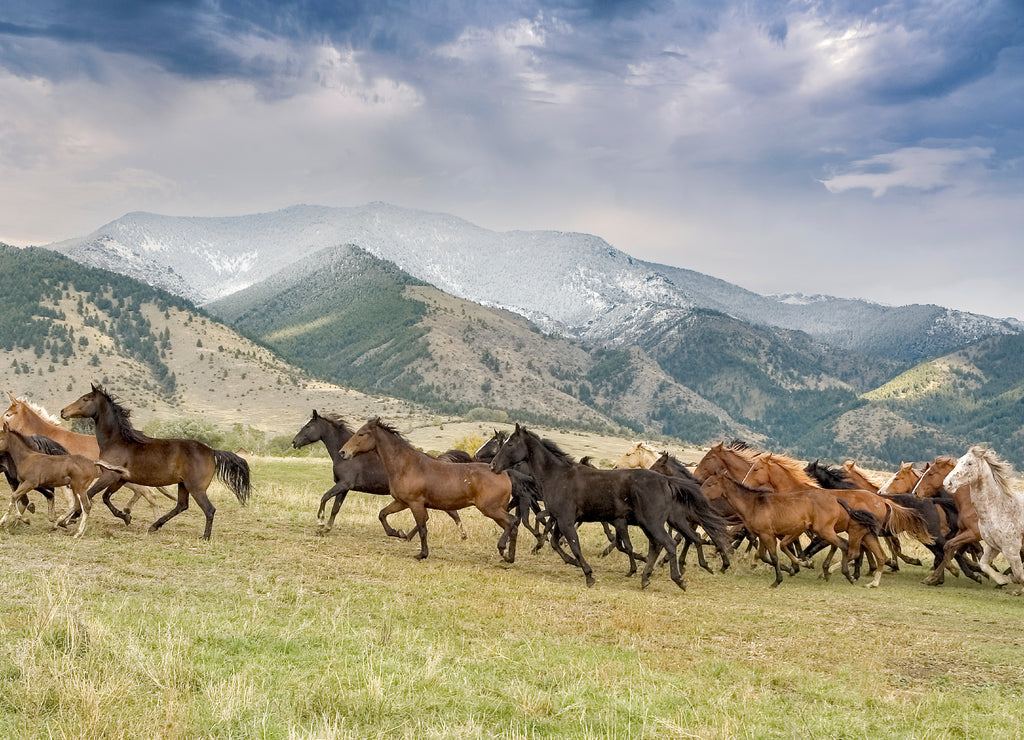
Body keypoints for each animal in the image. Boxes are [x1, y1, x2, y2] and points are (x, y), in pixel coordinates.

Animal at [60, 384, 250, 541]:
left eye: (85, 399)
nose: (63, 411)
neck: (117, 441)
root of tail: (212, 451)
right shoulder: (120, 478)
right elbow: (106, 498)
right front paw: (125, 516)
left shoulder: (110, 475)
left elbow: (90, 494)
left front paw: (68, 519)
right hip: (183, 485)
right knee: (181, 505)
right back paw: (154, 526)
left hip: (196, 487)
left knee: (209, 509)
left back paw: (205, 537)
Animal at [290, 410, 466, 538]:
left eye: (308, 426)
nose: (294, 442)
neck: (347, 457)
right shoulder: (344, 487)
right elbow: (335, 508)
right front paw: (325, 529)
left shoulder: (343, 484)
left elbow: (325, 497)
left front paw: (320, 523)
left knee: (446, 514)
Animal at [339, 418, 516, 562]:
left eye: (362, 434)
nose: (343, 452)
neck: (406, 465)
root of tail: (503, 474)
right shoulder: (402, 502)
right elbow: (382, 514)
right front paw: (397, 532)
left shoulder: (415, 503)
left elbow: (423, 528)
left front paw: (422, 554)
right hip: (495, 510)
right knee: (512, 526)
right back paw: (509, 557)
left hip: (490, 509)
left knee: (512, 522)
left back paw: (502, 549)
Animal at [489, 424, 728, 589]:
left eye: (510, 444)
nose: (492, 466)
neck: (557, 476)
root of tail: (665, 480)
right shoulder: (561, 519)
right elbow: (557, 543)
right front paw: (574, 563)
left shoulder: (566, 520)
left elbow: (574, 545)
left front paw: (589, 575)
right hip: (651, 523)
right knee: (659, 545)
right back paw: (645, 577)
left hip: (653, 522)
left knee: (669, 543)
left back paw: (678, 579)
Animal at [943, 447, 1024, 595]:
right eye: (959, 461)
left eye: (969, 463)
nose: (947, 483)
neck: (999, 509)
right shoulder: (993, 547)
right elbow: (984, 564)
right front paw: (1004, 580)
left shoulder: (1012, 551)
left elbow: (1019, 574)